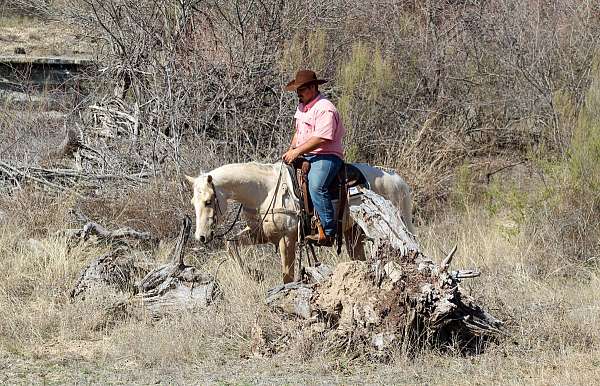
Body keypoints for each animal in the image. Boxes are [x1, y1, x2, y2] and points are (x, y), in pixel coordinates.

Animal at [185, 161, 414, 284]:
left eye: (208, 201)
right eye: (193, 202)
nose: (201, 237)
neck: (265, 191)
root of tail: (397, 180)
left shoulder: (287, 239)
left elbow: (287, 275)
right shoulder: (261, 234)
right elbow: (230, 244)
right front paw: (254, 274)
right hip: (353, 234)